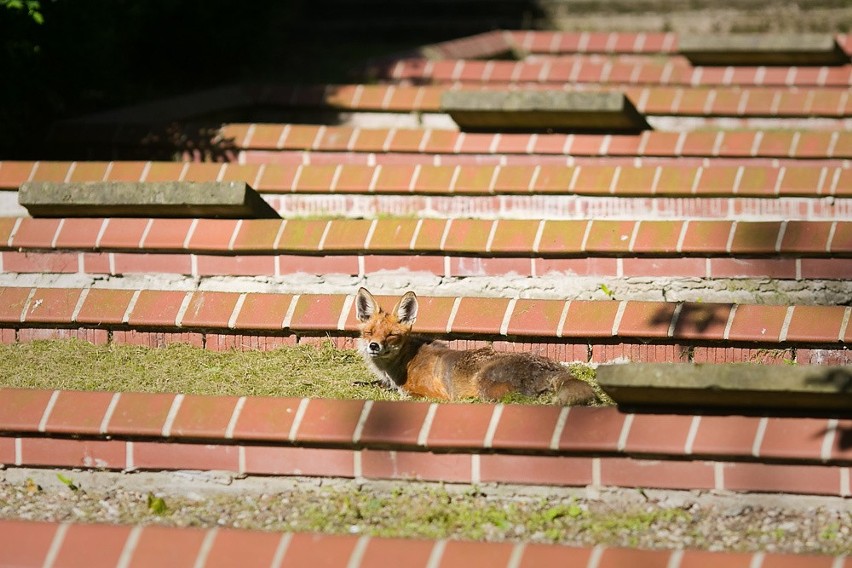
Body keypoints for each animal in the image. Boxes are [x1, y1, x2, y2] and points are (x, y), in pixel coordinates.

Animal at [356, 288, 596, 404]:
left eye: (392, 335)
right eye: (369, 332)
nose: (374, 346)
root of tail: (557, 369)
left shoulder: (429, 394)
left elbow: (403, 394)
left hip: (484, 383)